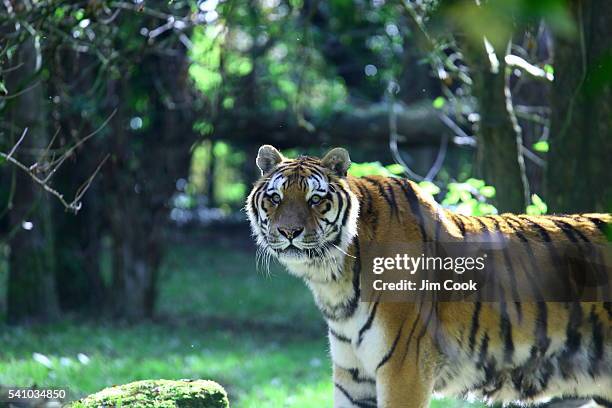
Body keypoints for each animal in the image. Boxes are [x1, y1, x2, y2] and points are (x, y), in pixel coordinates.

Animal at [245, 145, 612, 406]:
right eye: (275, 198)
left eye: (315, 199)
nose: (288, 231)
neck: (333, 279)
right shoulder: (354, 377)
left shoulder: (403, 370)